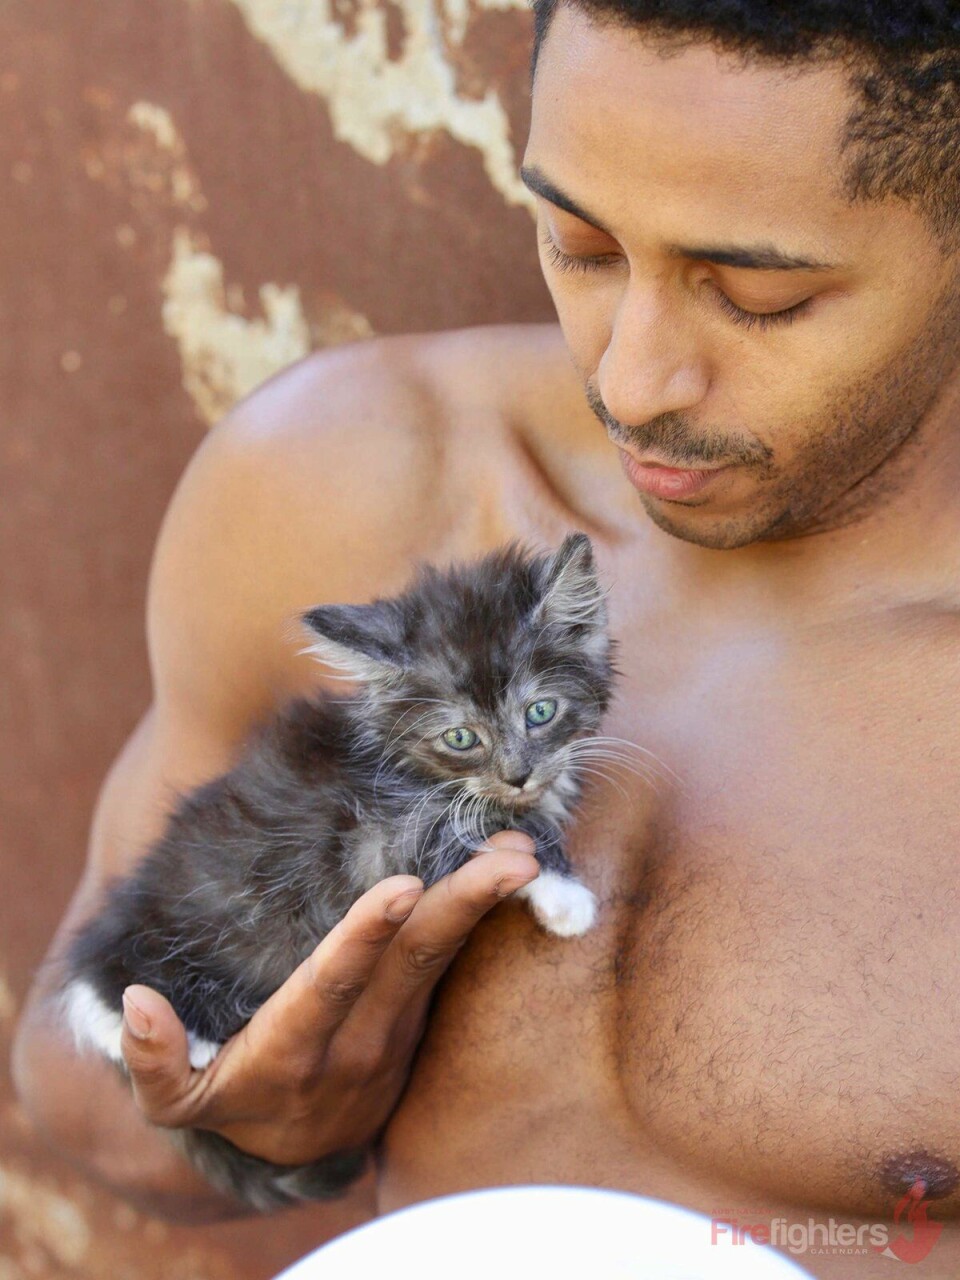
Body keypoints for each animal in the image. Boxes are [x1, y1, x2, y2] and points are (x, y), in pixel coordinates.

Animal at [60, 529, 616, 1208]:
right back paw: (180, 1030)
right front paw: (565, 895)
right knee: (98, 987)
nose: (519, 774)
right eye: (460, 738)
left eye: (541, 712)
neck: (396, 761)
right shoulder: (382, 835)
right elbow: (498, 830)